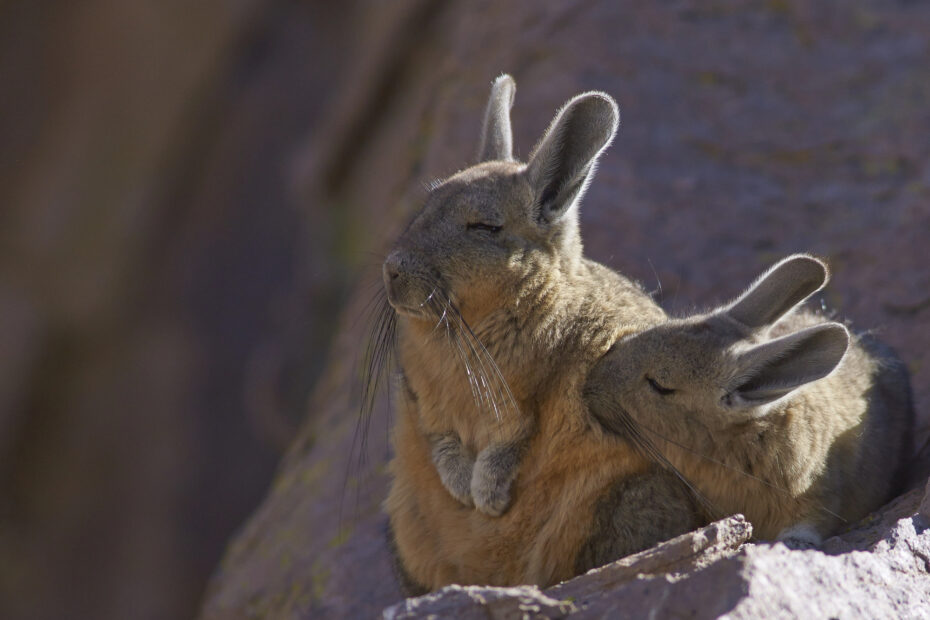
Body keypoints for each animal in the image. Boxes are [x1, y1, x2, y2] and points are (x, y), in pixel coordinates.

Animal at [373, 75, 701, 594]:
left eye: (485, 226)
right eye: (423, 207)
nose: (393, 271)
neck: (462, 329)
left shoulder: (528, 401)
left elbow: (511, 442)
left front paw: (487, 500)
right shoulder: (418, 397)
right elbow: (440, 440)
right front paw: (467, 495)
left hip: (631, 494)